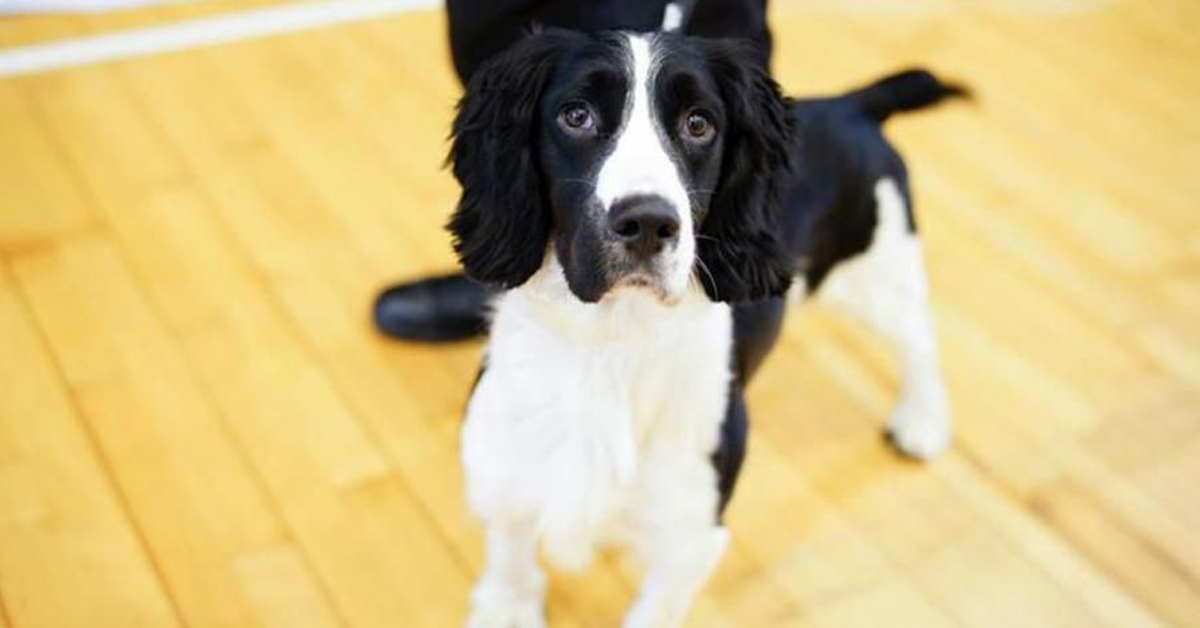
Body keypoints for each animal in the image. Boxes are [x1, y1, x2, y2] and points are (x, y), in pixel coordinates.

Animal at [446, 12, 960, 628]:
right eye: (576, 115)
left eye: (698, 124)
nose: (648, 222)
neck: (611, 344)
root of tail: (849, 105)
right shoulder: (502, 477)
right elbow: (510, 562)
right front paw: (507, 603)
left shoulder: (690, 539)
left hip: (877, 267)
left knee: (919, 334)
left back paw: (922, 418)